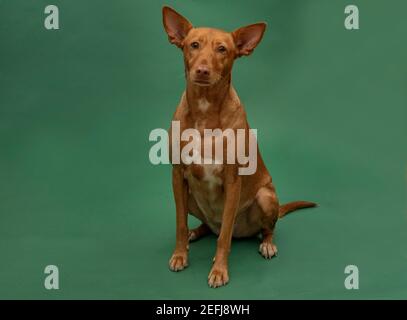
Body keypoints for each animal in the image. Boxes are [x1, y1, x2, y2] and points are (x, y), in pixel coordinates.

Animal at [162, 6, 316, 288]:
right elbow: (179, 223)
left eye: (222, 49)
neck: (205, 112)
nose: (202, 70)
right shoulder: (177, 175)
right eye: (194, 45)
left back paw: (267, 244)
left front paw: (219, 270)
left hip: (266, 197)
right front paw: (180, 254)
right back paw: (195, 232)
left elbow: (224, 237)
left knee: (261, 229)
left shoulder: (233, 181)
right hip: (190, 198)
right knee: (208, 227)